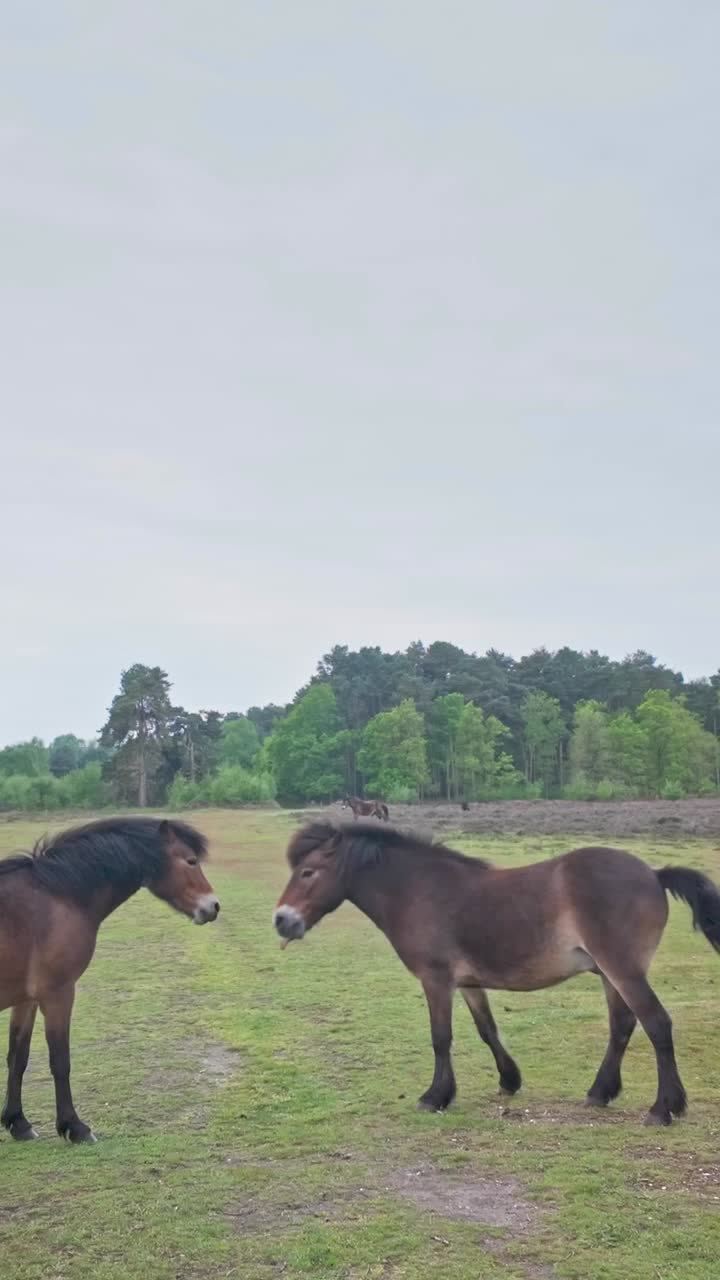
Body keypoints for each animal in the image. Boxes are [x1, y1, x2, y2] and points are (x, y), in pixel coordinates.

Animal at [0, 816, 219, 1144]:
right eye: (191, 861)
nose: (213, 906)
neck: (54, 896)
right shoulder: (58, 993)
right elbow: (60, 1060)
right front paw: (74, 1127)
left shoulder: (26, 999)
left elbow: (18, 1056)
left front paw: (18, 1122)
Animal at [273, 821, 720, 1127]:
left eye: (308, 873)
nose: (281, 920)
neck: (419, 891)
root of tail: (654, 874)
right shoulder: (469, 984)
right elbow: (487, 1030)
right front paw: (509, 1080)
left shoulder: (436, 980)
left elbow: (441, 1038)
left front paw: (435, 1096)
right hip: (611, 975)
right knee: (623, 1026)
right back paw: (600, 1092)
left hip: (623, 971)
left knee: (657, 1024)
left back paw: (663, 1109)